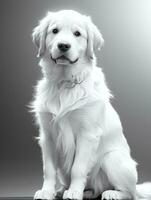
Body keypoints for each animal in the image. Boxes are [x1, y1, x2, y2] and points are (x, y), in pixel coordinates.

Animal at [30, 9, 151, 200]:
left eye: (77, 34)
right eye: (54, 31)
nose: (63, 46)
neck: (65, 83)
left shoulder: (87, 134)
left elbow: (78, 168)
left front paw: (74, 192)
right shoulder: (47, 135)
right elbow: (48, 169)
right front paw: (47, 191)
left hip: (113, 159)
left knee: (130, 193)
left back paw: (111, 193)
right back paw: (66, 190)